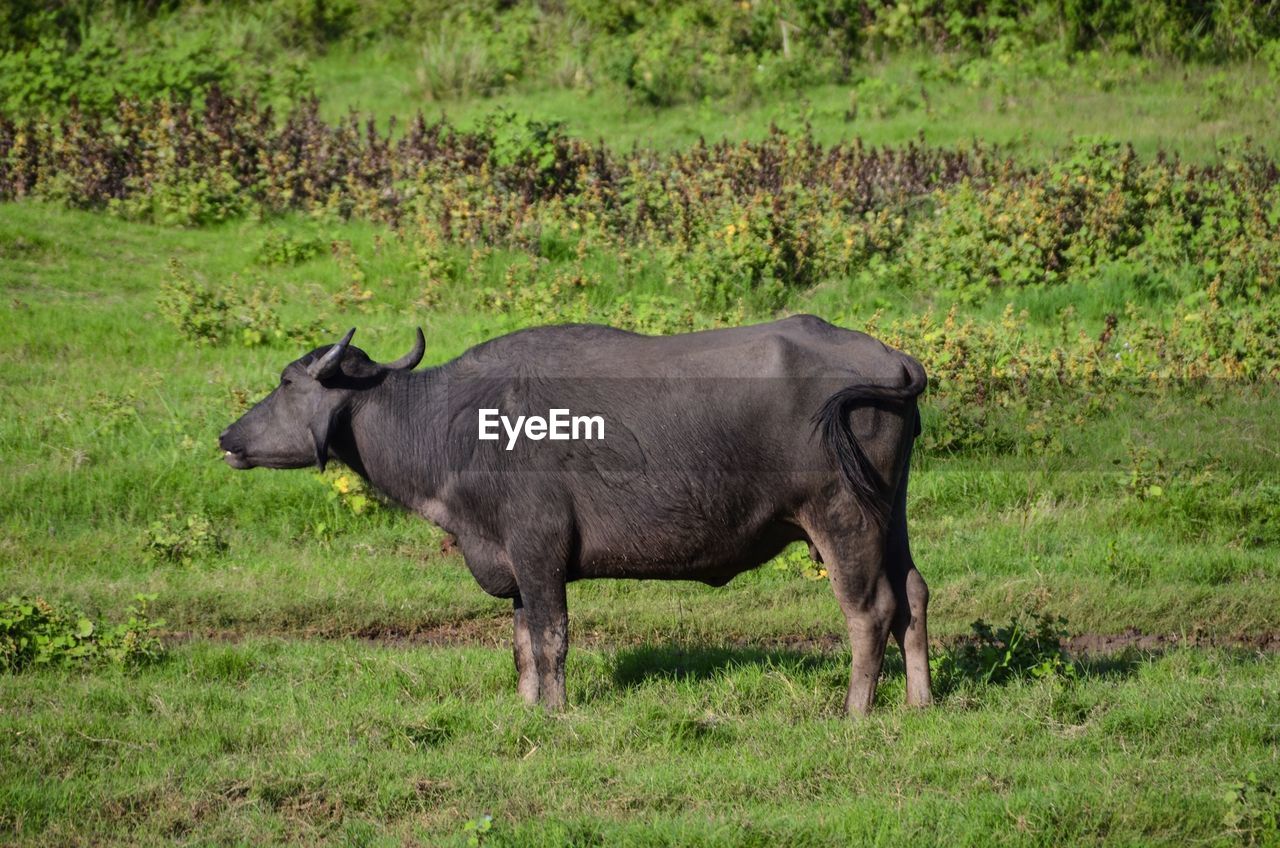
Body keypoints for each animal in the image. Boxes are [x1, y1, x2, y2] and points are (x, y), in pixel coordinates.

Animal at [222, 315, 931, 712]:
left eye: (287, 383)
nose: (228, 437)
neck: (454, 423)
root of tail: (894, 362)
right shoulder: (511, 559)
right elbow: (521, 646)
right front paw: (527, 707)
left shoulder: (539, 550)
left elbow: (552, 638)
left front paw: (556, 712)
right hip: (888, 512)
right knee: (914, 595)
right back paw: (920, 702)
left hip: (842, 515)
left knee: (869, 610)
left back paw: (855, 711)